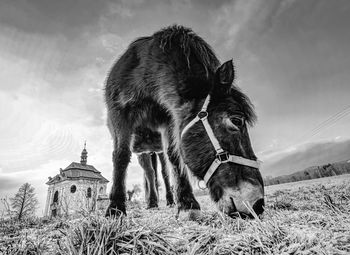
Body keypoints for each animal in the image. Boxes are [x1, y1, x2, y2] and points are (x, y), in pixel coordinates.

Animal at [105, 24, 264, 218]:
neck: (144, 76)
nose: (258, 203)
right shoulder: (120, 115)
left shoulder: (170, 120)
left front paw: (187, 203)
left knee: (163, 173)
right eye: (236, 121)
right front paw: (115, 207)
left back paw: (168, 200)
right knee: (149, 172)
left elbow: (174, 156)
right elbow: (121, 156)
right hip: (143, 150)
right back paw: (152, 202)